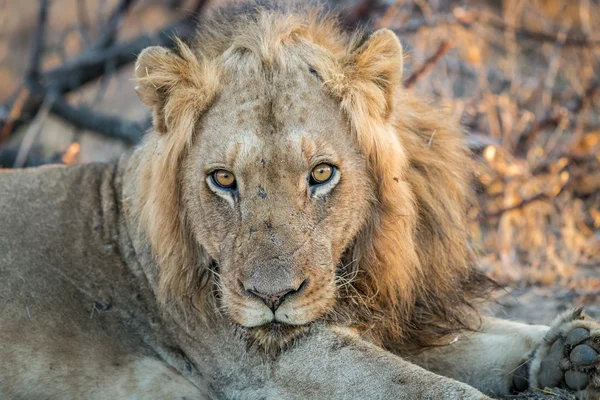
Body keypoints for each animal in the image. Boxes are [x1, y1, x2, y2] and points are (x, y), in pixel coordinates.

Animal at [1, 1, 600, 398]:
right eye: (223, 179)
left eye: (321, 173)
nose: (272, 298)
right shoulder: (268, 364)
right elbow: (420, 385)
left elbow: (481, 338)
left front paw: (573, 352)